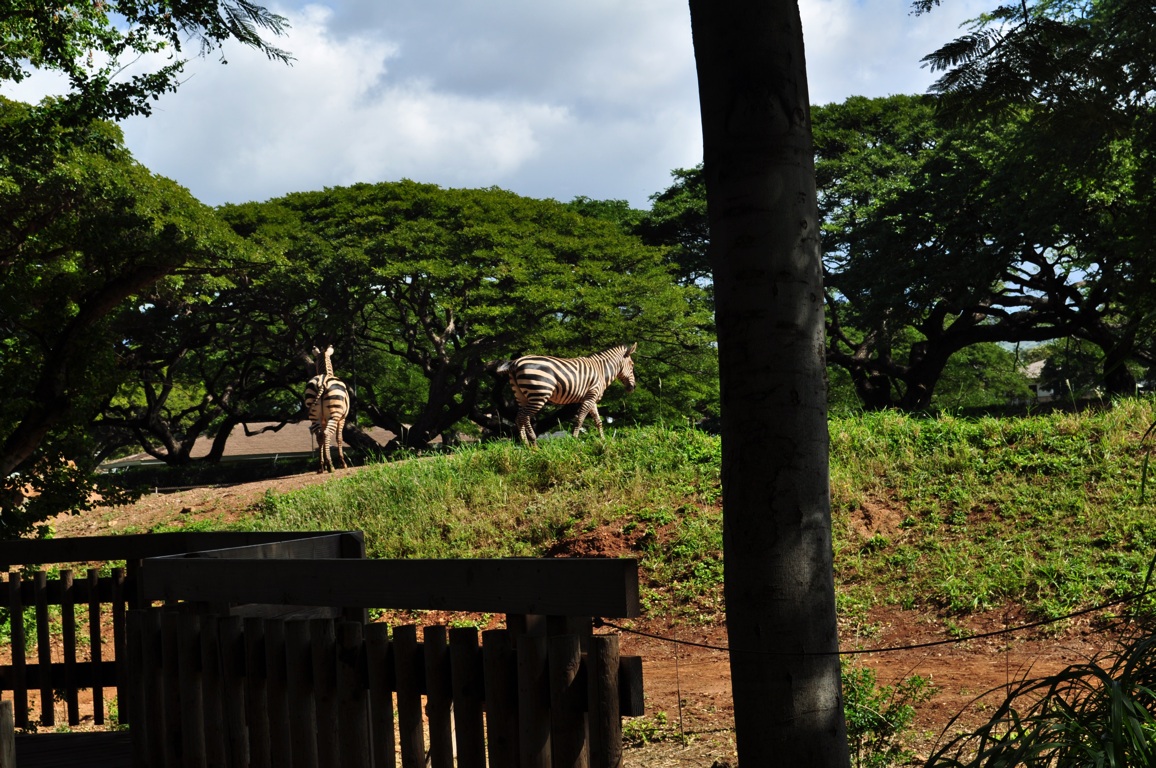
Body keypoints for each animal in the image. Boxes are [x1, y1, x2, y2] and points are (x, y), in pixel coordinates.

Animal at [495, 343, 637, 447]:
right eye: (632, 365)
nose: (633, 387)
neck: (601, 371)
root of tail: (515, 363)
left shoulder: (592, 399)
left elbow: (598, 421)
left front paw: (603, 440)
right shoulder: (590, 396)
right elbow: (580, 418)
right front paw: (575, 440)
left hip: (522, 396)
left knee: (520, 418)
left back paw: (528, 445)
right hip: (539, 394)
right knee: (524, 417)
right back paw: (532, 443)